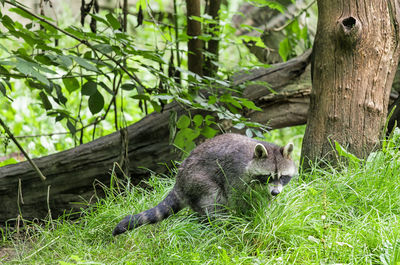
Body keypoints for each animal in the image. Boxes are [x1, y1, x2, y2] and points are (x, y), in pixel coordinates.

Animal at [111, 132, 296, 235]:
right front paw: (245, 219)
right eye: (268, 176)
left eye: (283, 177)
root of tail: (179, 183)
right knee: (213, 198)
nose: (276, 193)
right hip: (196, 179)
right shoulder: (235, 175)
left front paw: (264, 213)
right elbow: (237, 199)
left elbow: (263, 202)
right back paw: (218, 222)